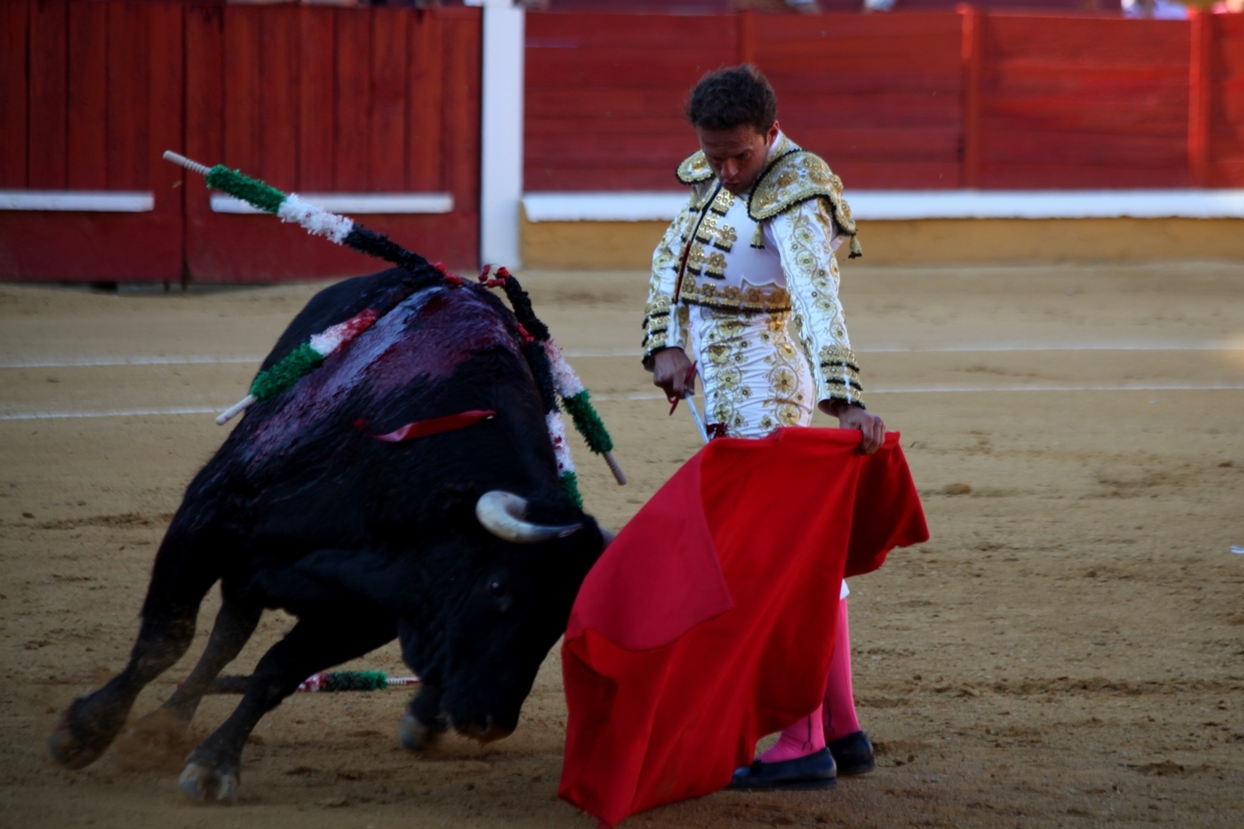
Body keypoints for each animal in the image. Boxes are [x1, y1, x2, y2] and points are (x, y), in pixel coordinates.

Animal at [47, 271, 607, 801]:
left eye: (559, 621)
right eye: (497, 588)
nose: (489, 723)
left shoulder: (366, 612)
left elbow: (277, 673)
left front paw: (214, 765)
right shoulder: (208, 518)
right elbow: (166, 639)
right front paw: (84, 732)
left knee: (234, 636)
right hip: (243, 560)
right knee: (223, 638)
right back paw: (157, 727)